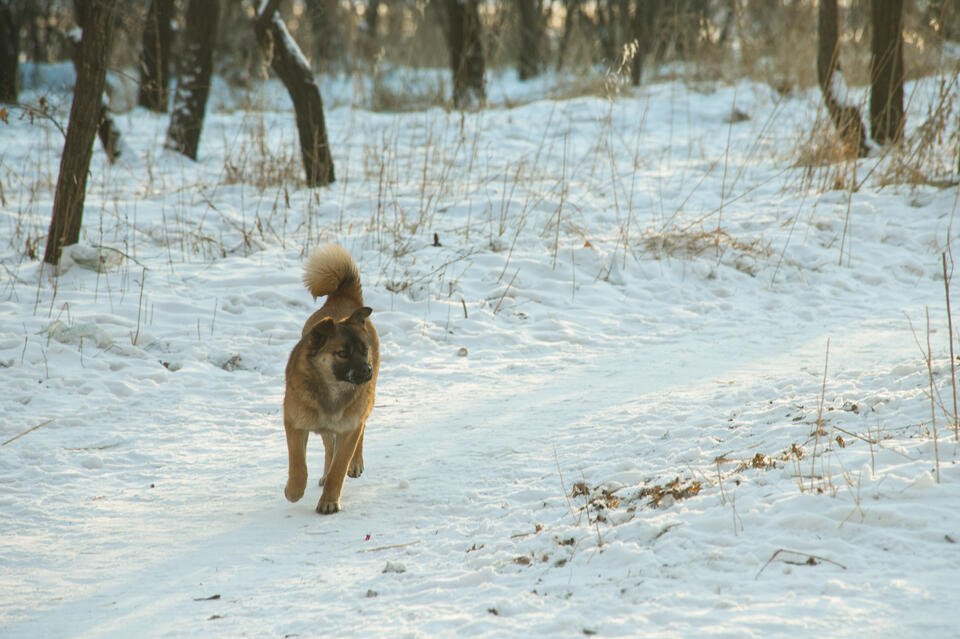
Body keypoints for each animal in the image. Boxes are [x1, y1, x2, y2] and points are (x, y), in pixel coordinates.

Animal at [282, 245, 378, 516]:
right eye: (342, 353)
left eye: (364, 350)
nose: (367, 371)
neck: (331, 390)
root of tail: (341, 299)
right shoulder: (294, 423)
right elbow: (298, 463)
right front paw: (294, 490)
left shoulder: (349, 428)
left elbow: (339, 468)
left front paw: (329, 501)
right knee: (327, 446)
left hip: (363, 408)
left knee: (359, 433)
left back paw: (354, 465)